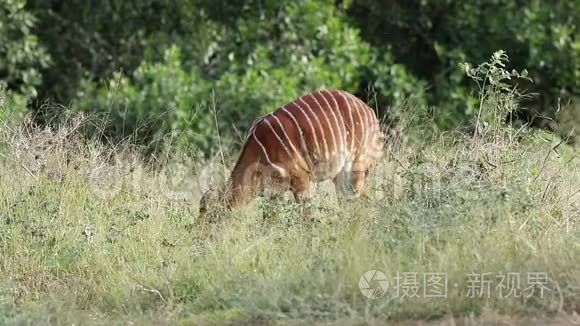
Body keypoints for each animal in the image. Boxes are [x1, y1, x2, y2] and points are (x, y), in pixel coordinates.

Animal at [199, 88, 386, 218]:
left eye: (210, 217)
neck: (260, 150)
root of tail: (371, 112)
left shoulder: (301, 179)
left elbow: (307, 218)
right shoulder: (274, 193)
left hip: (356, 169)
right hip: (341, 176)